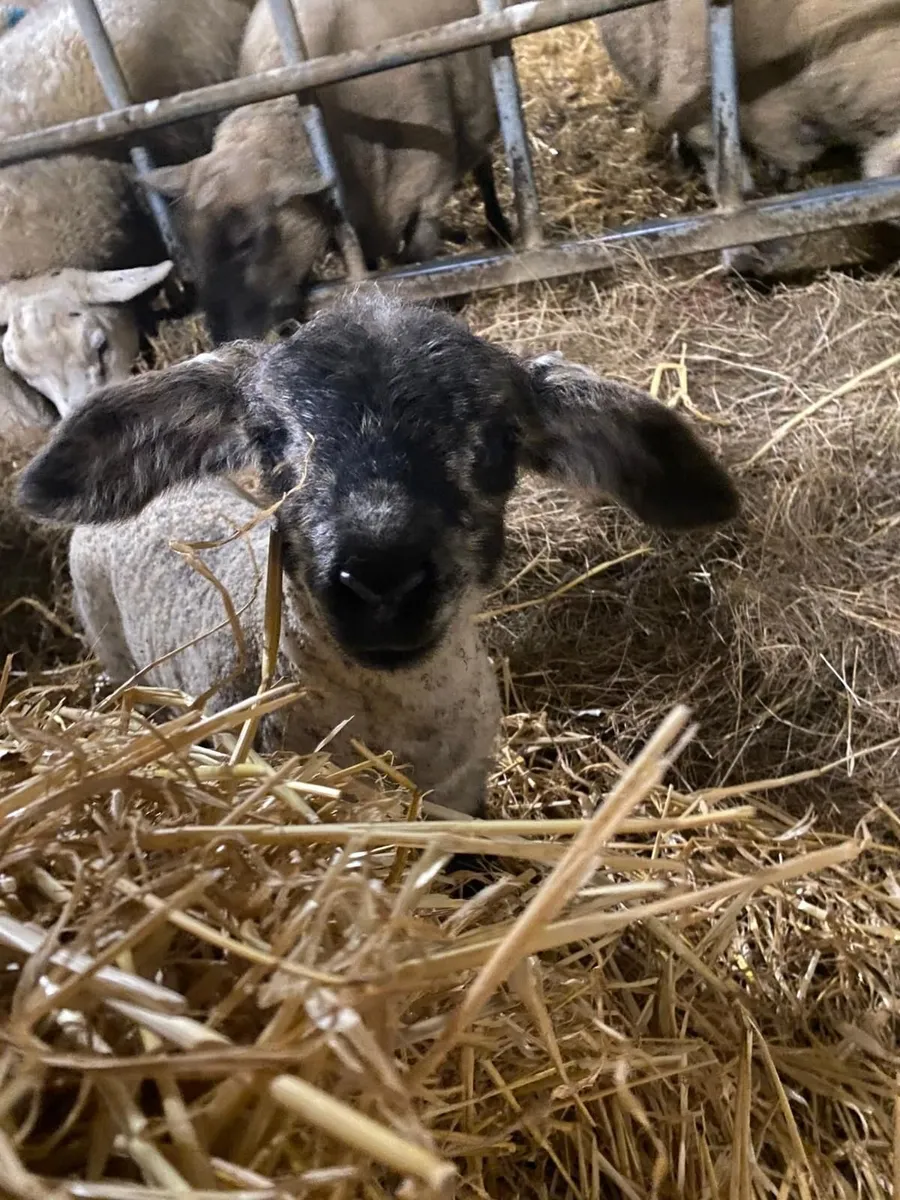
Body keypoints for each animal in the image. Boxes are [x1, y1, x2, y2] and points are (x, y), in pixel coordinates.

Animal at [144, 0, 513, 344]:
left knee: (483, 169)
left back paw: (499, 228)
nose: (226, 339)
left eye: (248, 241)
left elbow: (421, 260)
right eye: (188, 247)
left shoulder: (428, 189)